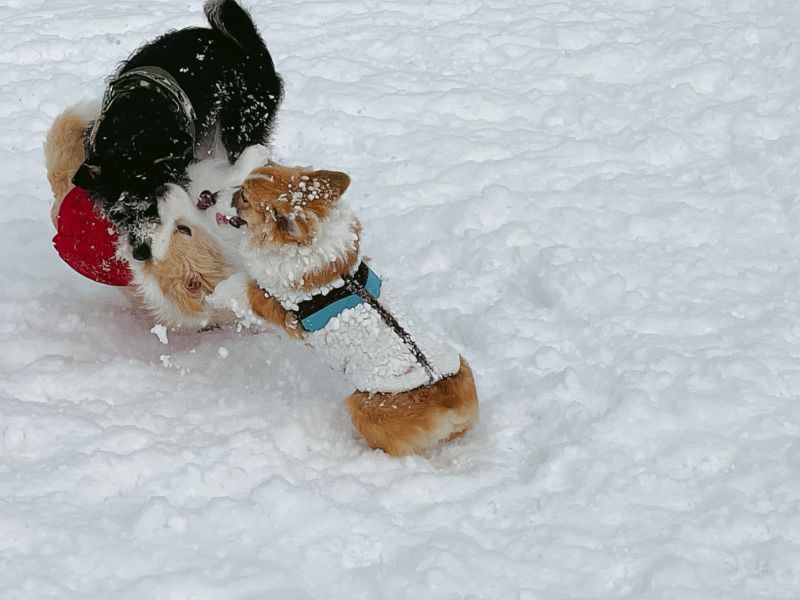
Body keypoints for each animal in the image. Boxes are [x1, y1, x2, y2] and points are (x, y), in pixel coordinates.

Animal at [72, 0, 284, 262]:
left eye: (154, 206)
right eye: (118, 214)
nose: (141, 253)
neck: (134, 127)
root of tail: (244, 44)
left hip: (241, 128)